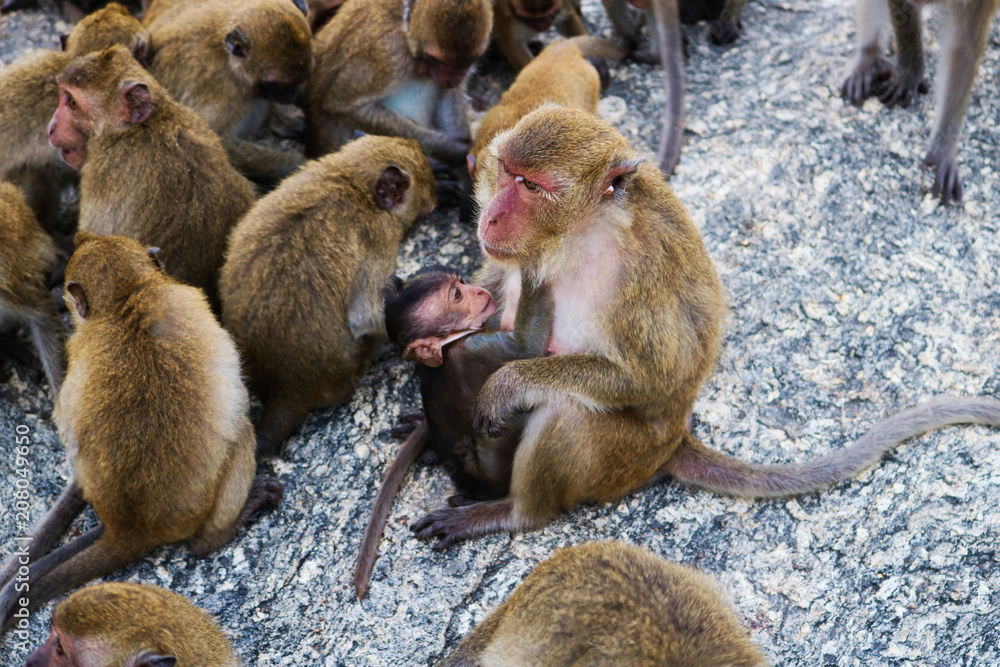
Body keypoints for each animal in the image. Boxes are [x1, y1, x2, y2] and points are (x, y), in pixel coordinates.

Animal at [0, 232, 282, 637]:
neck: (126, 298)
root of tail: (130, 528)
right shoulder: (189, 298)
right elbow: (239, 395)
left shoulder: (79, 347)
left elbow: (68, 427)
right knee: (240, 430)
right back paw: (220, 532)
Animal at [142, 0, 313, 182]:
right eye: (279, 84)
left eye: (301, 81)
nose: (292, 97)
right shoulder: (222, 89)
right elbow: (220, 142)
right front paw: (291, 162)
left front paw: (288, 123)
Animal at [304, 0, 493, 165]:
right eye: (434, 59)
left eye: (466, 63)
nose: (452, 79)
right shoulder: (387, 53)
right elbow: (343, 105)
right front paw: (451, 147)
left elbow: (449, 94)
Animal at [353, 267, 553, 599]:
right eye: (457, 295)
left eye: (461, 282)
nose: (480, 292)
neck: (448, 344)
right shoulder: (481, 349)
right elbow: (528, 346)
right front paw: (534, 270)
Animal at [410, 105, 1000, 549]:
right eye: (506, 172)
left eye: (531, 186)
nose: (489, 217)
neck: (585, 233)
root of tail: (676, 439)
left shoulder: (637, 276)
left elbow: (651, 377)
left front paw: (506, 383)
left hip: (625, 457)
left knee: (569, 413)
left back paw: (514, 511)